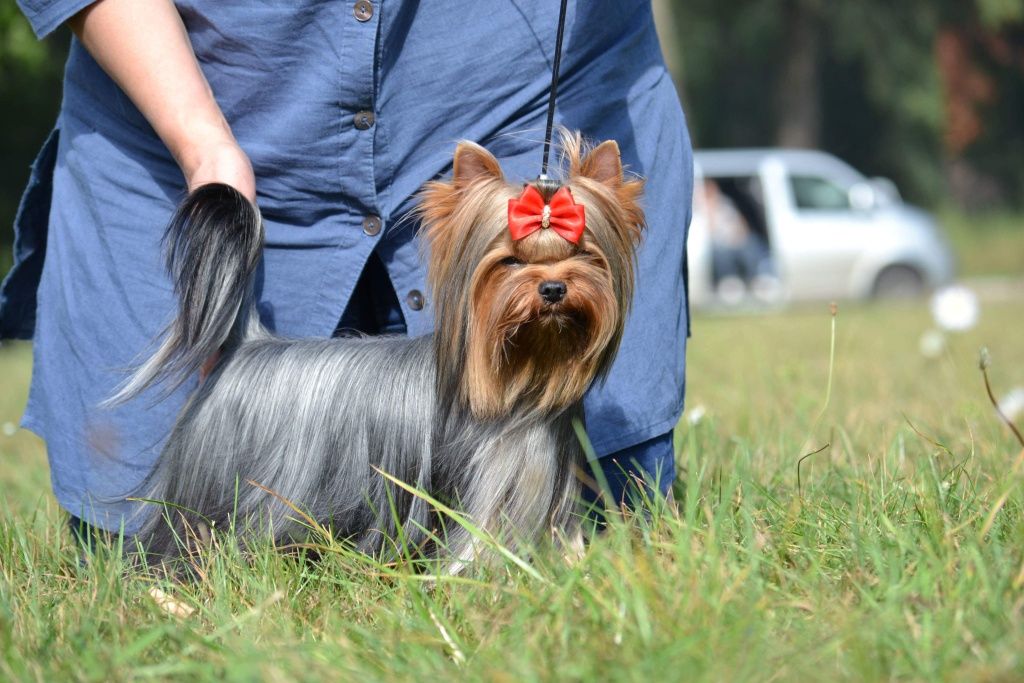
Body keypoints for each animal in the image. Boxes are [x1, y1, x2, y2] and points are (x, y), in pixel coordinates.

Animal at [119, 132, 643, 565]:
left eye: (583, 255)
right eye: (511, 261)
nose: (553, 289)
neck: (524, 379)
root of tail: (247, 341)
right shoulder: (482, 492)